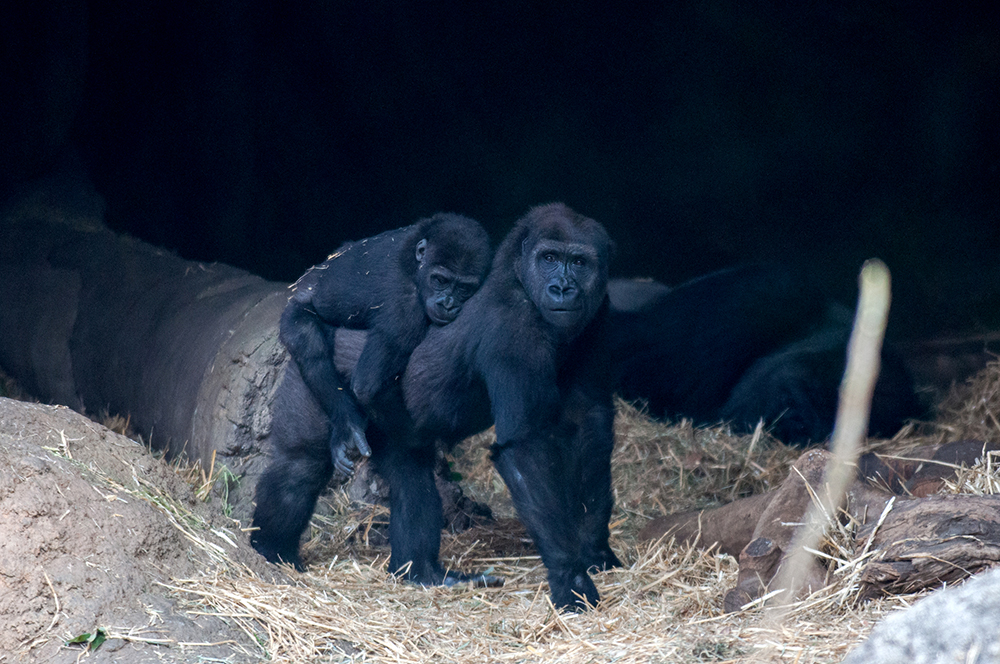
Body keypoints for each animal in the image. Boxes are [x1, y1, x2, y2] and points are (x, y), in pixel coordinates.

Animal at [250, 214, 492, 572]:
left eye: (464, 288)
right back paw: (346, 422)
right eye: (440, 280)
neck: (417, 266)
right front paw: (425, 442)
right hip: (295, 316)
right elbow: (370, 385)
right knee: (308, 344)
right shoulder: (405, 308)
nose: (448, 304)